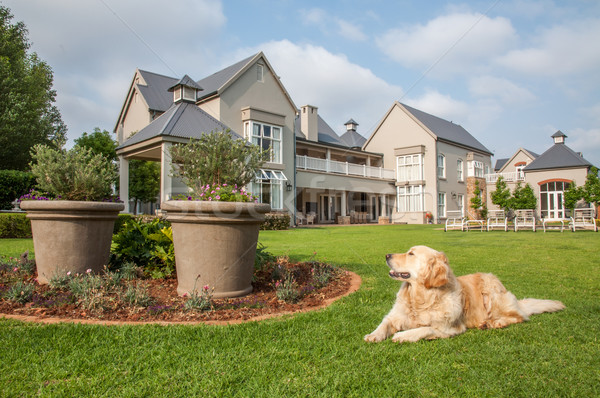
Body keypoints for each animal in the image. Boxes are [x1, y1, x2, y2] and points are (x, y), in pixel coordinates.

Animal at [364, 244, 564, 344]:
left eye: (411, 254)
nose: (387, 255)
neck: (421, 298)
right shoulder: (394, 316)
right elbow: (384, 324)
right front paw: (374, 335)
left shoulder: (450, 327)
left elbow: (425, 328)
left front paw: (404, 335)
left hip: (491, 291)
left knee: (517, 317)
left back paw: (492, 323)